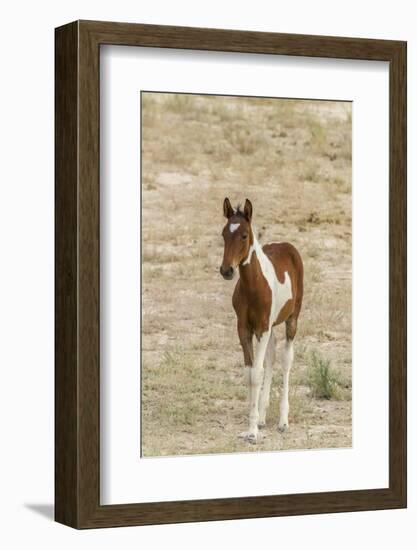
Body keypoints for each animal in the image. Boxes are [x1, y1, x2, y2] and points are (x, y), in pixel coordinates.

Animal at [221, 198, 302, 444]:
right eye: (223, 234)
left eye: (244, 235)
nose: (226, 270)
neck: (253, 286)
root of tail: (287, 245)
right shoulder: (244, 328)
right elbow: (250, 373)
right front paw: (254, 423)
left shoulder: (263, 327)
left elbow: (256, 373)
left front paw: (252, 432)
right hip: (269, 327)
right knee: (271, 357)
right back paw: (264, 416)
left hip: (291, 319)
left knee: (285, 360)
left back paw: (283, 421)